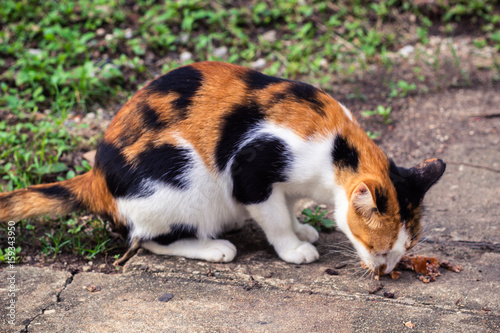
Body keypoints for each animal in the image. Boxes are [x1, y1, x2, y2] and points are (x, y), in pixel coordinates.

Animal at [0, 61, 446, 272]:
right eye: (378, 248)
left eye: (404, 251)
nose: (385, 270)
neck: (336, 150)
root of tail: (95, 178)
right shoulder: (251, 169)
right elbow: (274, 217)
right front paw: (293, 247)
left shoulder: (284, 185)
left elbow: (288, 206)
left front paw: (303, 227)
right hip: (180, 176)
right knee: (147, 239)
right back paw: (214, 246)